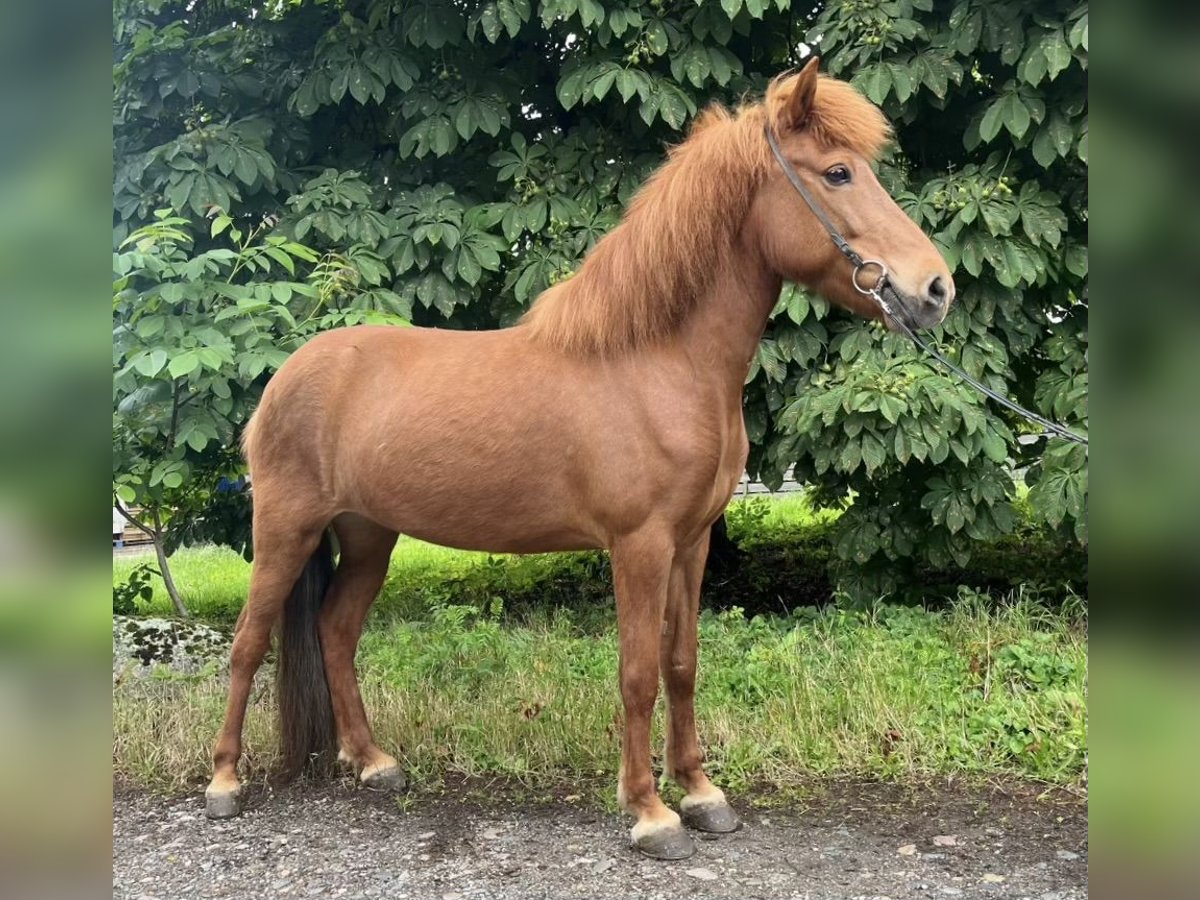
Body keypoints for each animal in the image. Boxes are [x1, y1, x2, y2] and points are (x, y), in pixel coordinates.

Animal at [208, 60, 955, 864]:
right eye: (839, 172)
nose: (935, 288)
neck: (657, 362)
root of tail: (289, 375)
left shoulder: (691, 543)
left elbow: (681, 664)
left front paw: (702, 794)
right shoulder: (640, 546)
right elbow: (636, 673)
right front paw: (651, 813)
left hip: (370, 534)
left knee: (336, 631)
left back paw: (373, 763)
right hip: (285, 529)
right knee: (249, 643)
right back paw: (225, 782)